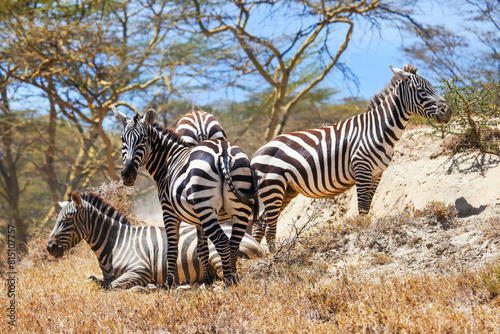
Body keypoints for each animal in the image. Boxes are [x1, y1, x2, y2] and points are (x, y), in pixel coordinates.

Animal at [47, 190, 264, 290]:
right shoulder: (105, 277)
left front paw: (145, 288)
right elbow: (94, 281)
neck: (115, 243)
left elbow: (114, 287)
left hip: (216, 255)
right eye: (57, 220)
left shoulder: (140, 270)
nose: (49, 248)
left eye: (67, 220)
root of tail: (254, 241)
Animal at [111, 107, 256, 288]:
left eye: (143, 139)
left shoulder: (169, 212)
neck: (168, 161)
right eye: (123, 139)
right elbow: (202, 249)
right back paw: (235, 280)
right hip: (238, 208)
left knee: (222, 241)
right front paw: (207, 281)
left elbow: (172, 249)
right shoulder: (198, 220)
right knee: (234, 243)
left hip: (206, 207)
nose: (127, 174)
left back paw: (228, 283)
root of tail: (222, 152)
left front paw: (168, 285)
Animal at [252, 64, 452, 250]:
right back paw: (274, 256)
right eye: (421, 91)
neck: (378, 129)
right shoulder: (362, 168)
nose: (448, 111)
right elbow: (362, 207)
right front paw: (362, 236)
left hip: (286, 189)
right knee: (268, 226)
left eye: (432, 86)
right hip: (273, 187)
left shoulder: (377, 173)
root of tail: (257, 152)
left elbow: (368, 205)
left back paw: (255, 258)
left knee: (261, 223)